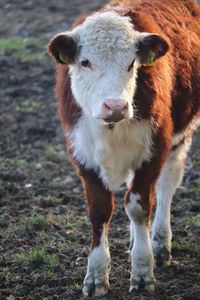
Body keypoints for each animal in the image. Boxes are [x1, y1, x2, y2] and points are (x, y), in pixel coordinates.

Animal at [48, 0, 200, 296]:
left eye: (132, 63)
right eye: (85, 62)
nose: (116, 106)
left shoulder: (154, 150)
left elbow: (139, 207)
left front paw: (142, 271)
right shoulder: (83, 157)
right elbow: (99, 211)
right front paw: (95, 277)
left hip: (180, 134)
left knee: (167, 183)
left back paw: (159, 243)